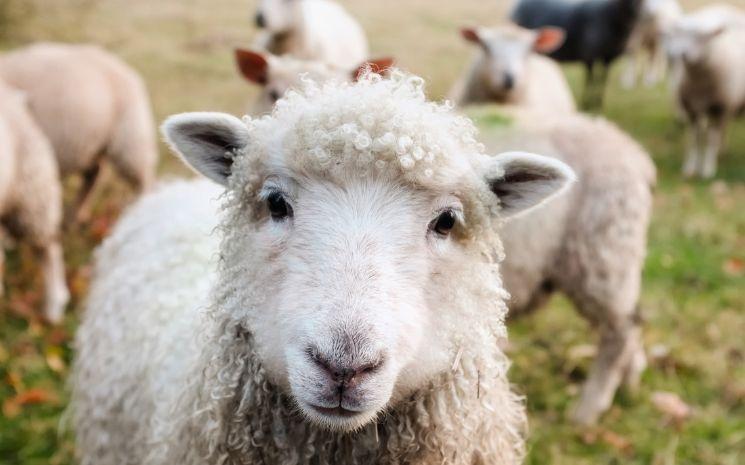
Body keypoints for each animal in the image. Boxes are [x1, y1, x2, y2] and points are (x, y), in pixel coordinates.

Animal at [0, 42, 158, 223]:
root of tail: (125, 68)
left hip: (130, 137)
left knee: (144, 178)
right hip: (92, 143)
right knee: (93, 174)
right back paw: (77, 215)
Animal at [511, 0, 643, 109]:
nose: (637, 10)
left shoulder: (608, 58)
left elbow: (602, 80)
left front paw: (598, 103)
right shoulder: (590, 55)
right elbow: (590, 79)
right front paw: (587, 103)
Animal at [663, 5, 745, 178]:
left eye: (702, 37)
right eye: (679, 34)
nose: (681, 54)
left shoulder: (718, 108)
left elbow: (711, 140)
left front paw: (708, 169)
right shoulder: (691, 110)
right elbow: (694, 139)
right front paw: (690, 168)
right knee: (723, 127)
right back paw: (723, 150)